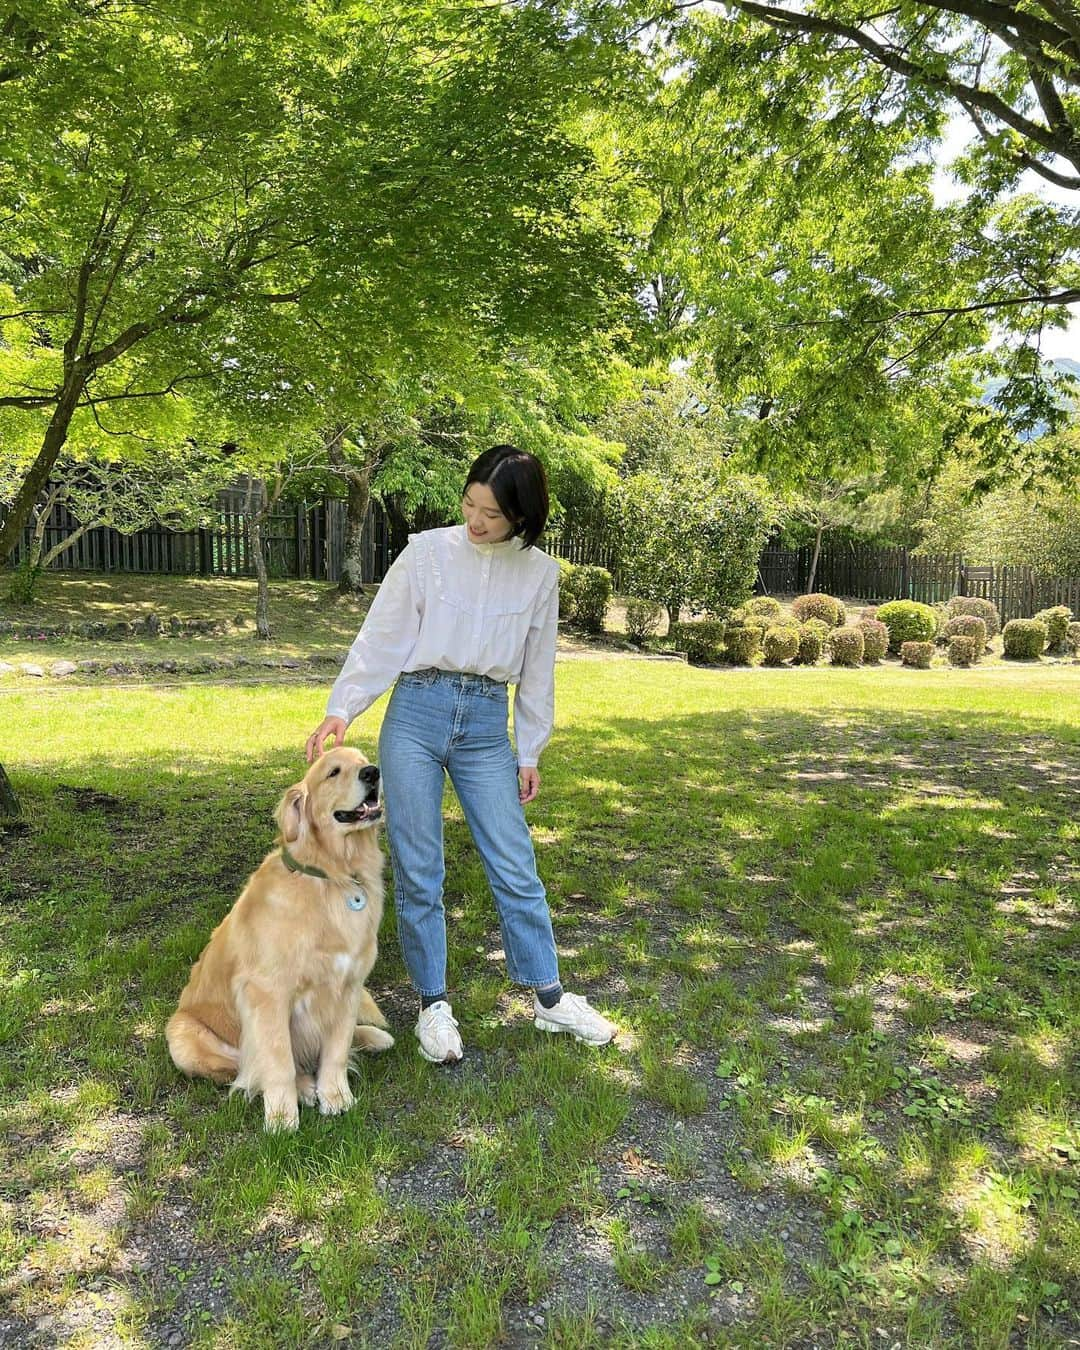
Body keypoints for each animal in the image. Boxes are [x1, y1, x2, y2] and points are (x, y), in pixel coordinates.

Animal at [164, 745, 391, 1134]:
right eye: (333, 772)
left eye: (363, 761)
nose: (372, 773)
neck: (333, 877)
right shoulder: (268, 994)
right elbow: (278, 1060)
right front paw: (283, 1117)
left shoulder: (348, 984)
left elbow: (336, 1050)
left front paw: (337, 1097)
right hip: (183, 1037)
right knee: (247, 1068)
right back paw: (302, 1087)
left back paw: (372, 1038)